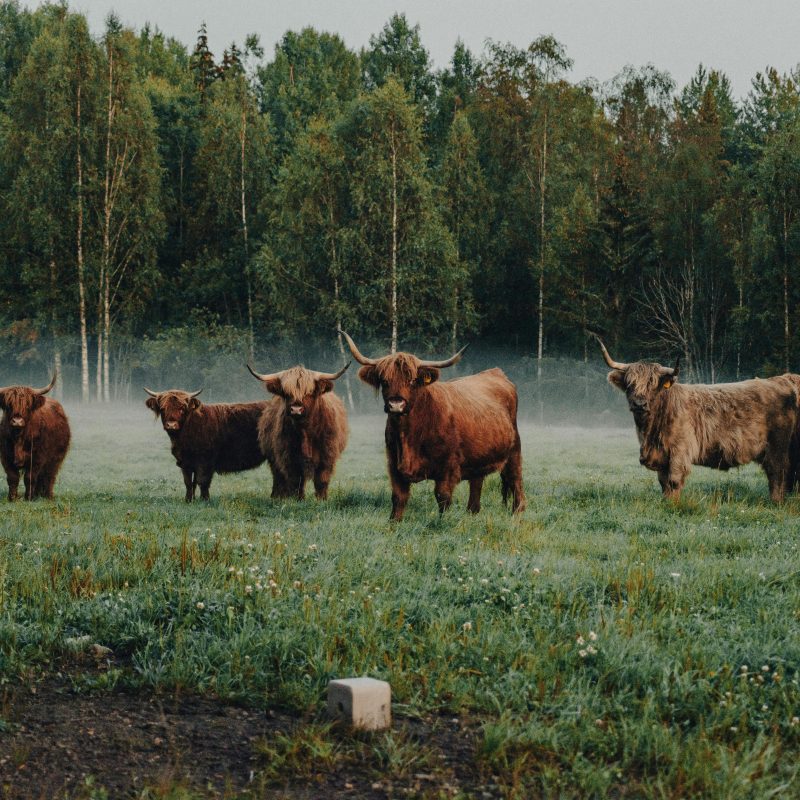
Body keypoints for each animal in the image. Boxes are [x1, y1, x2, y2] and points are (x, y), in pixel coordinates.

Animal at [247, 363, 349, 500]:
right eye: (286, 393)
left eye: (309, 392)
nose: (296, 409)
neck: (305, 431)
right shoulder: (289, 457)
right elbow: (296, 481)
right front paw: (298, 499)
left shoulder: (327, 456)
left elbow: (321, 480)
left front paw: (321, 499)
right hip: (273, 458)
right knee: (278, 477)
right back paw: (277, 496)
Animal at [339, 331, 526, 521]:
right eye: (384, 381)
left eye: (413, 380)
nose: (396, 405)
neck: (409, 435)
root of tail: (496, 373)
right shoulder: (394, 465)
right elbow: (398, 498)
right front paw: (394, 523)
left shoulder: (447, 468)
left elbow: (442, 497)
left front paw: (443, 522)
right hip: (479, 457)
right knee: (476, 487)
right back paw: (472, 513)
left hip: (514, 451)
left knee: (515, 480)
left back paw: (517, 514)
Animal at [596, 336, 799, 502]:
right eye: (630, 384)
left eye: (653, 385)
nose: (639, 404)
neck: (650, 431)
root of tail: (782, 380)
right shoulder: (662, 456)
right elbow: (663, 482)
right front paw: (666, 502)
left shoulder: (680, 450)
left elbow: (674, 481)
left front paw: (674, 504)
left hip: (777, 446)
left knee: (778, 472)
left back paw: (775, 502)